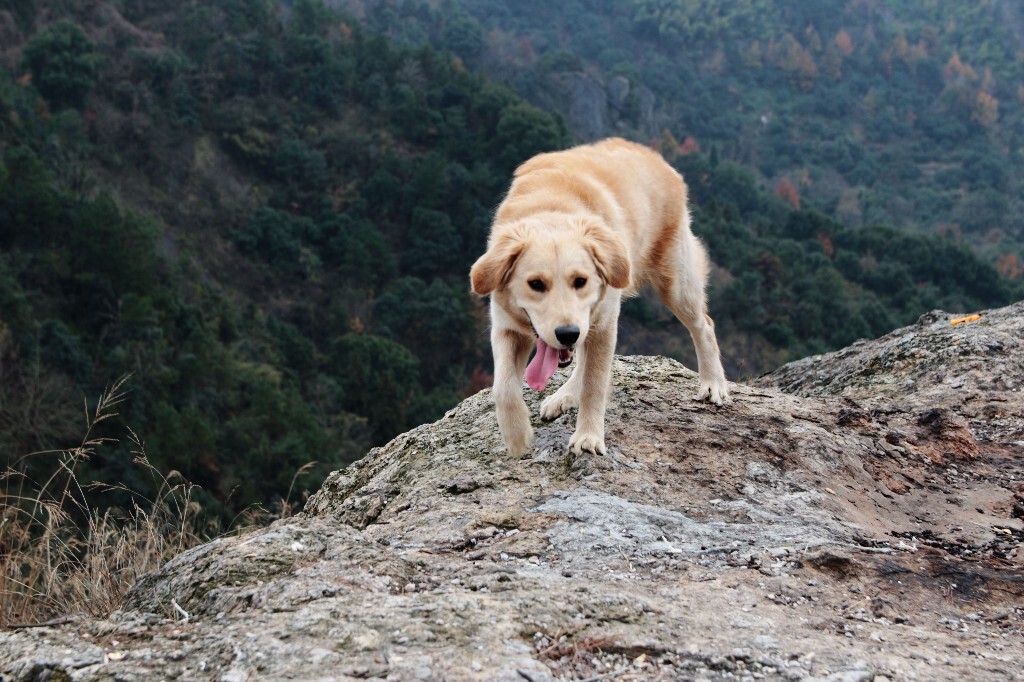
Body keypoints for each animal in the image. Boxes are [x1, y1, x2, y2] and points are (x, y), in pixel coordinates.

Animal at [471, 137, 729, 456]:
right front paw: (517, 437)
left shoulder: (604, 324)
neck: (552, 208)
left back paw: (713, 383)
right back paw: (566, 394)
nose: (566, 333)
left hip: (674, 283)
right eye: (536, 284)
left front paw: (589, 436)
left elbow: (595, 385)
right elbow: (503, 387)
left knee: (704, 325)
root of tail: (656, 158)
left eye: (580, 281)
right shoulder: (506, 327)